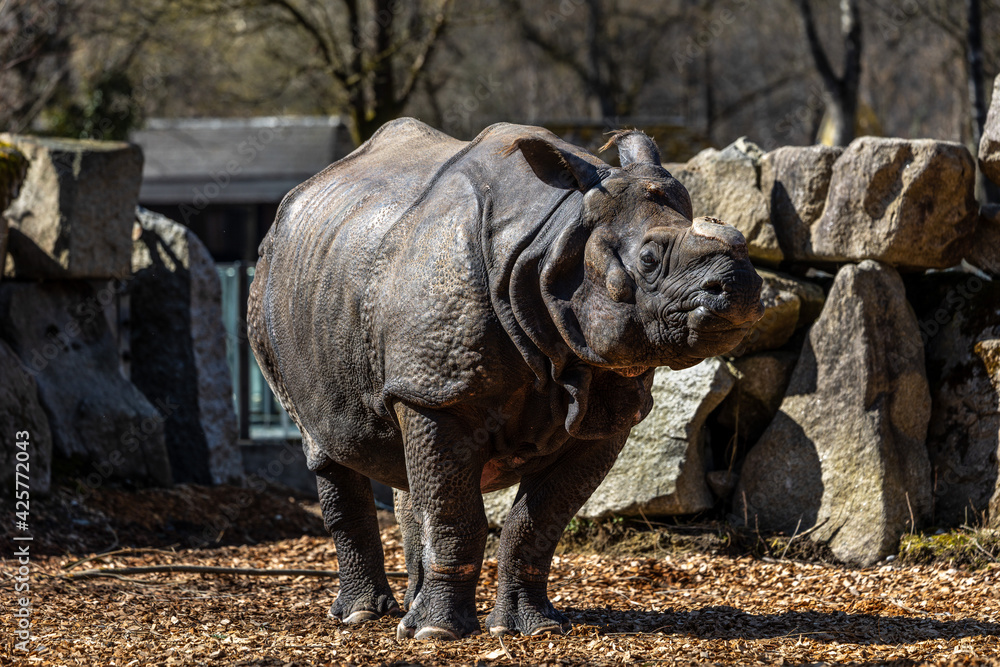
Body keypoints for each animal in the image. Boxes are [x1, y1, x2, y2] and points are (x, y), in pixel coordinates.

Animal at [248, 119, 763, 640]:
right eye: (649, 259)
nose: (739, 285)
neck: (555, 241)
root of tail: (297, 199)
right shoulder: (441, 394)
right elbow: (455, 515)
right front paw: (440, 634)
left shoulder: (603, 405)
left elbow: (537, 521)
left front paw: (532, 628)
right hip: (270, 295)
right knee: (326, 445)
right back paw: (363, 615)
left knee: (408, 465)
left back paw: (409, 611)